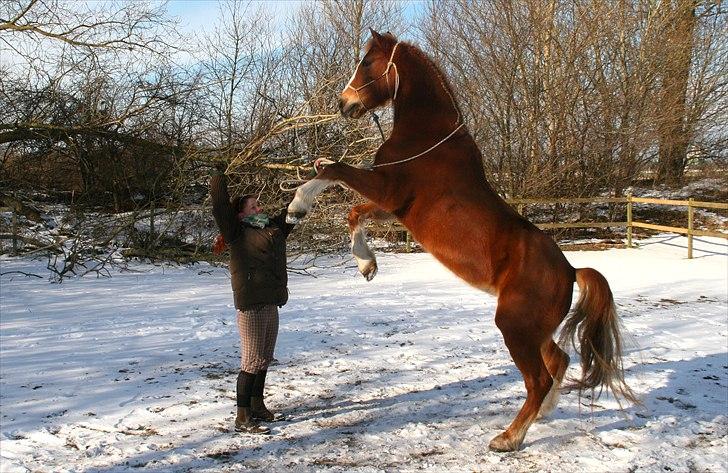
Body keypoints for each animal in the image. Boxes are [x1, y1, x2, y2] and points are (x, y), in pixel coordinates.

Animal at [284, 28, 632, 450]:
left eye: (367, 62)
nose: (343, 103)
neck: (425, 136)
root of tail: (571, 270)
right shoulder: (392, 207)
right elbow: (351, 209)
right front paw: (366, 264)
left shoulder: (388, 190)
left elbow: (332, 169)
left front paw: (297, 206)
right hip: (533, 329)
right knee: (558, 361)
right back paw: (543, 415)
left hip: (514, 327)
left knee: (539, 378)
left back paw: (508, 438)